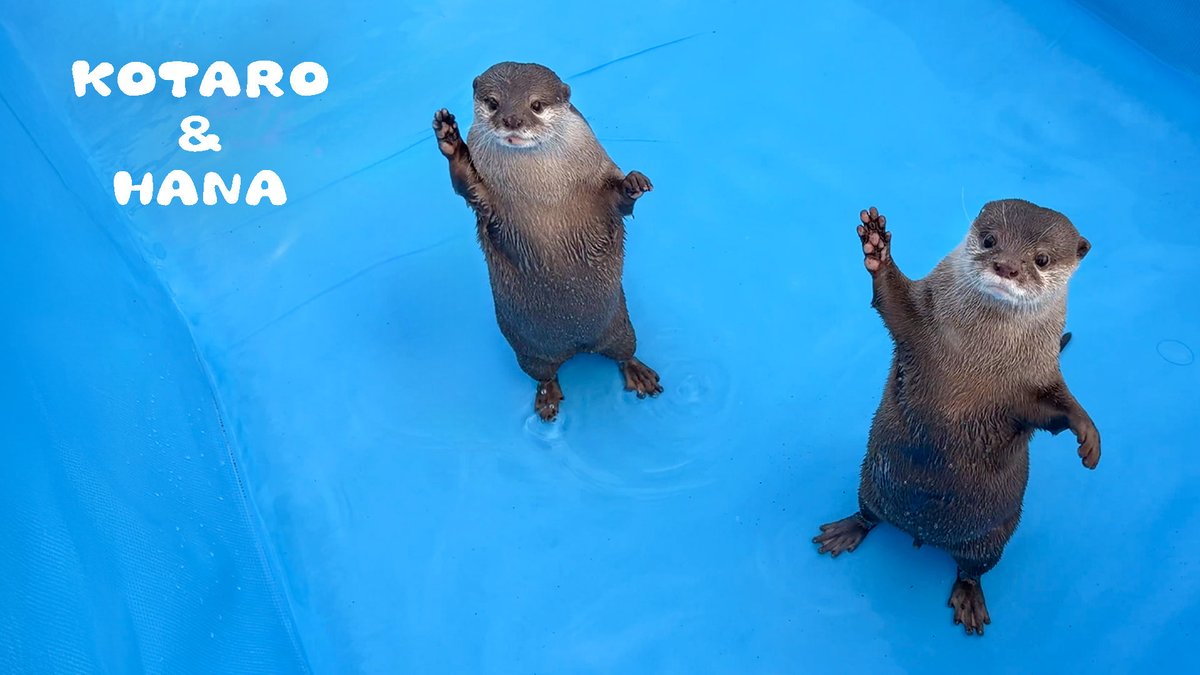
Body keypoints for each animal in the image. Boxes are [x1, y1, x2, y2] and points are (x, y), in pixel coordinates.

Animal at [432, 62, 661, 421]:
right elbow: (468, 187)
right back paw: (548, 398)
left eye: (536, 105)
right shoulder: (488, 203)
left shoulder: (600, 181)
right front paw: (450, 141)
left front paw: (633, 183)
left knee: (624, 352)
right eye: (493, 102)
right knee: (544, 373)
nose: (512, 120)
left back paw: (639, 373)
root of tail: (578, 345)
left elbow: (619, 202)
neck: (544, 191)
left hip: (622, 325)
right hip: (528, 350)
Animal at [813, 202, 1101, 636]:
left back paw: (969, 598)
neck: (977, 356)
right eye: (990, 239)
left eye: (1042, 259)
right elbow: (895, 304)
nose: (1007, 266)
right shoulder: (921, 323)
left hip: (993, 537)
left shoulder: (1037, 379)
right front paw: (877, 247)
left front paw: (1088, 434)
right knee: (868, 515)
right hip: (871, 484)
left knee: (973, 568)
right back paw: (845, 530)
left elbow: (1055, 410)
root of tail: (921, 533)